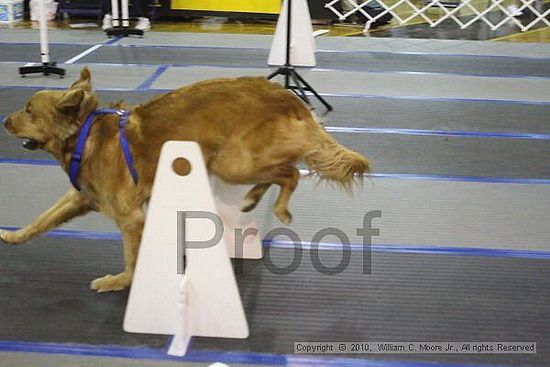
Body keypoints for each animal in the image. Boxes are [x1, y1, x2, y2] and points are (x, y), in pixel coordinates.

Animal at [1, 67, 370, 294]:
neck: (85, 137)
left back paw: (277, 208)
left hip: (233, 162)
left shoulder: (130, 218)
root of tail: (286, 94)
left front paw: (119, 282)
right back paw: (251, 199)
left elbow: (132, 260)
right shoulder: (80, 197)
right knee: (283, 171)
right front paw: (13, 236)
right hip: (237, 161)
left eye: (29, 110)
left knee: (290, 172)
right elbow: (41, 219)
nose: (5, 121)